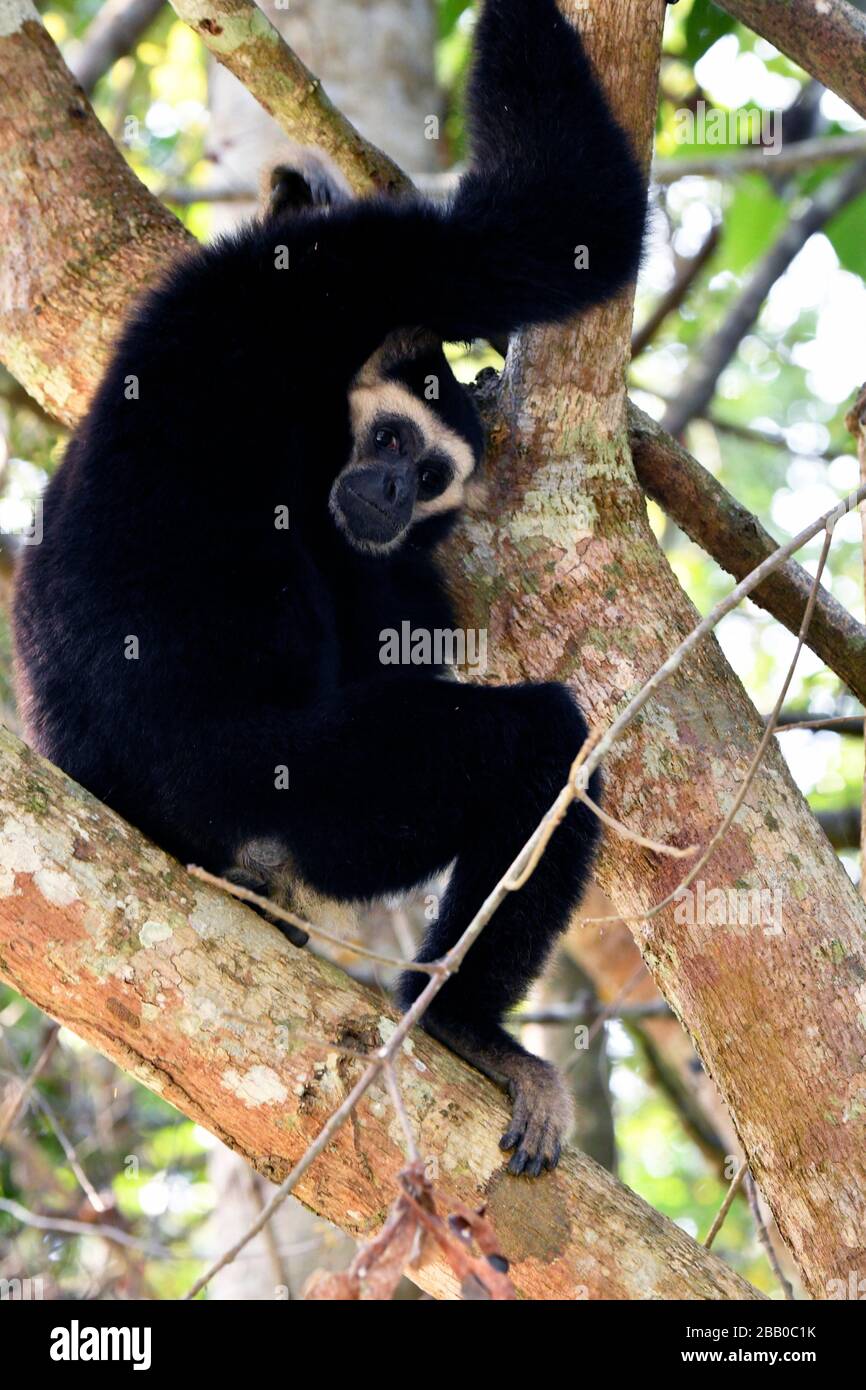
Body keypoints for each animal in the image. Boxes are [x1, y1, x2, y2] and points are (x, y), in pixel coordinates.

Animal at [13, 0, 646, 1176]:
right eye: (394, 441)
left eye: (434, 474)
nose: (394, 494)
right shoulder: (312, 282)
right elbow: (546, 224)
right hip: (299, 786)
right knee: (544, 745)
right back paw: (462, 1026)